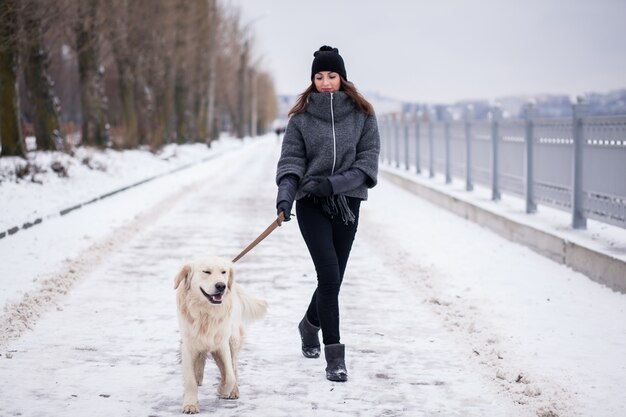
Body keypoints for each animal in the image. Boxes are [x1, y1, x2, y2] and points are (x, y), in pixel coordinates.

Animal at [173, 255, 266, 412]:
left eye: (223, 272)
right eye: (206, 272)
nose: (221, 286)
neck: (206, 313)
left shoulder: (222, 344)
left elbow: (230, 376)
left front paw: (223, 389)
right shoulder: (188, 344)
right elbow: (190, 380)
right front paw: (190, 404)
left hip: (233, 339)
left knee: (233, 368)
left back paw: (233, 390)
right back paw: (199, 375)